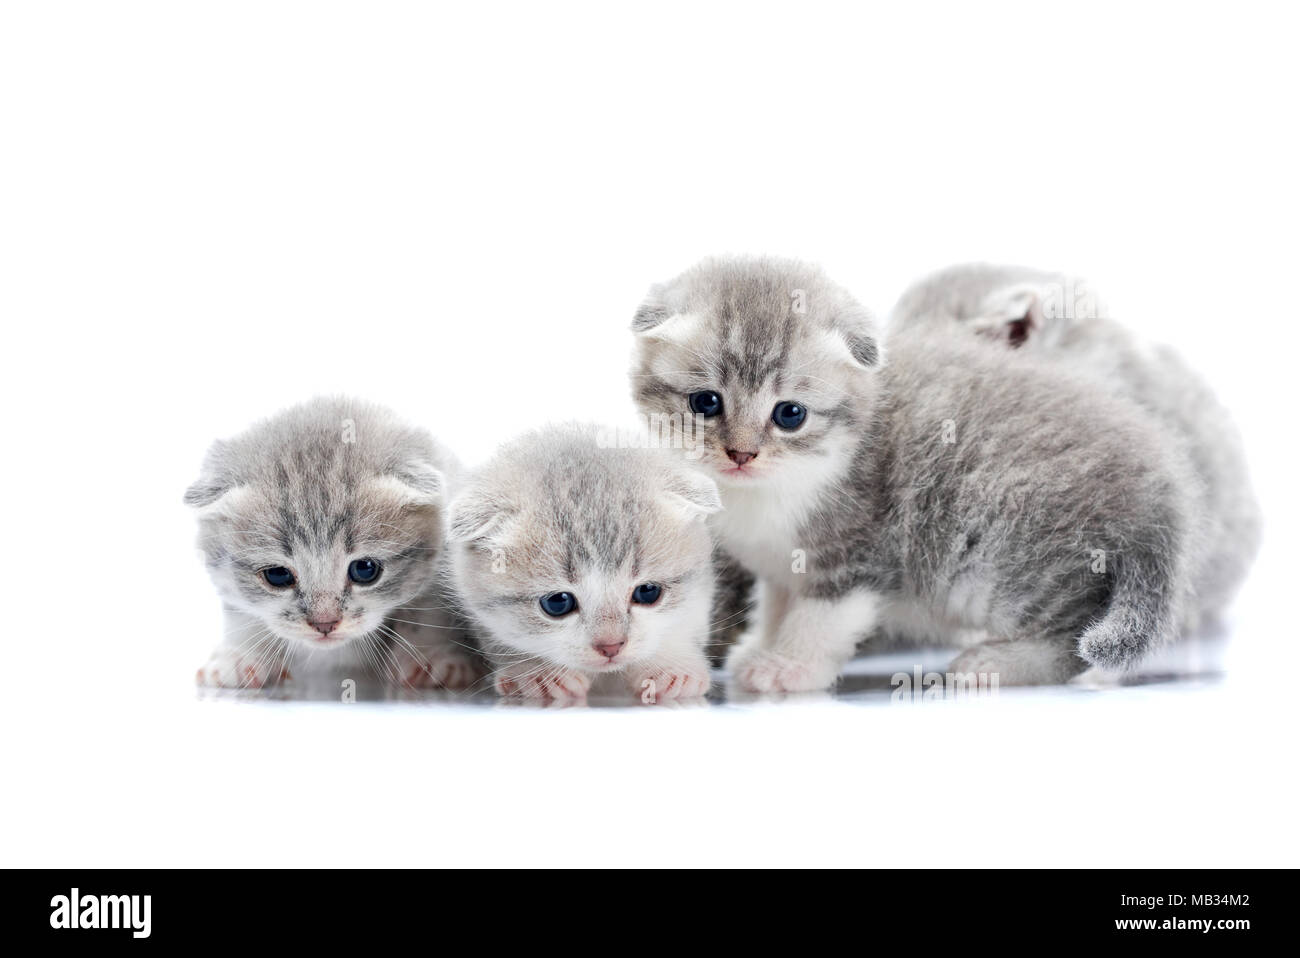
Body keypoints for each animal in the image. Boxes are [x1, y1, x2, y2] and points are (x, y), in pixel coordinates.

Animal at [185, 395, 480, 686]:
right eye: (277, 575)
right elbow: (239, 609)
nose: (325, 624)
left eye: (365, 570)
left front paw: (430, 656)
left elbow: (426, 609)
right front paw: (238, 656)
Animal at [626, 254, 1196, 686]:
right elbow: (779, 604)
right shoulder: (782, 564)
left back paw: (996, 663)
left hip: (1006, 556)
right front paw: (759, 647)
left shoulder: (859, 554)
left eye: (790, 414)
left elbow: (820, 619)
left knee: (1072, 637)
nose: (741, 455)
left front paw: (789, 667)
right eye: (705, 402)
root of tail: (1161, 492)